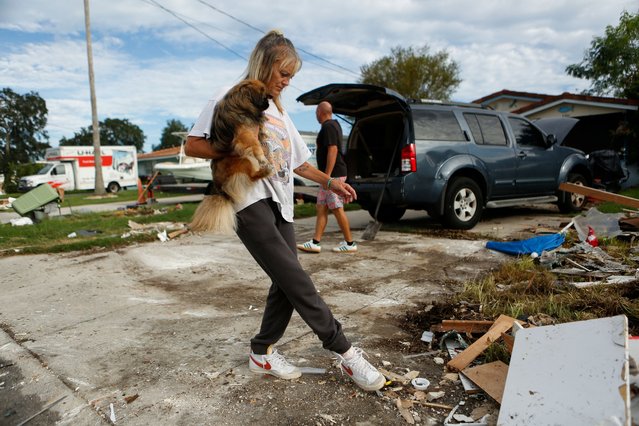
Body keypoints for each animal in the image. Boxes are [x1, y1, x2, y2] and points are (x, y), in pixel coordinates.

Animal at [188, 80, 272, 233]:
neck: (241, 104)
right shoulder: (245, 135)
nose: (268, 103)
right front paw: (263, 158)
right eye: (264, 97)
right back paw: (265, 170)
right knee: (252, 175)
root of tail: (222, 191)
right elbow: (256, 146)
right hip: (244, 161)